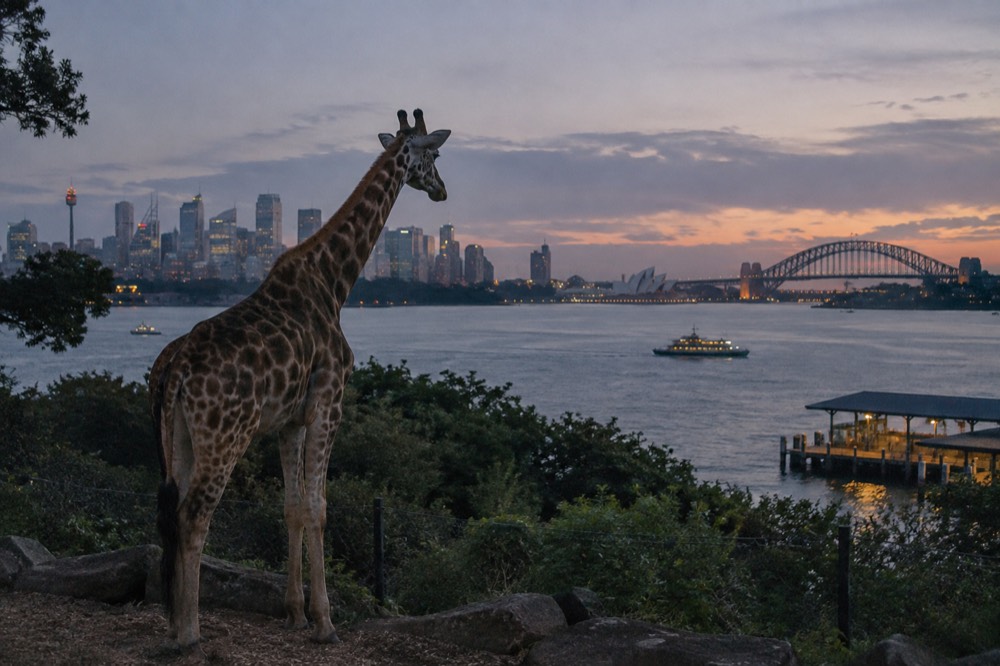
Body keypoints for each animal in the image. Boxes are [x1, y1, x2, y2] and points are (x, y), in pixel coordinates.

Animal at [152, 109, 450, 650]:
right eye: (434, 154)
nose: (441, 191)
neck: (335, 282)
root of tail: (175, 370)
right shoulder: (328, 403)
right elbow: (318, 508)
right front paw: (325, 622)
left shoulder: (288, 421)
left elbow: (290, 507)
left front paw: (293, 613)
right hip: (224, 436)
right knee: (193, 516)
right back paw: (189, 631)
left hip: (176, 437)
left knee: (170, 512)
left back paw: (173, 624)